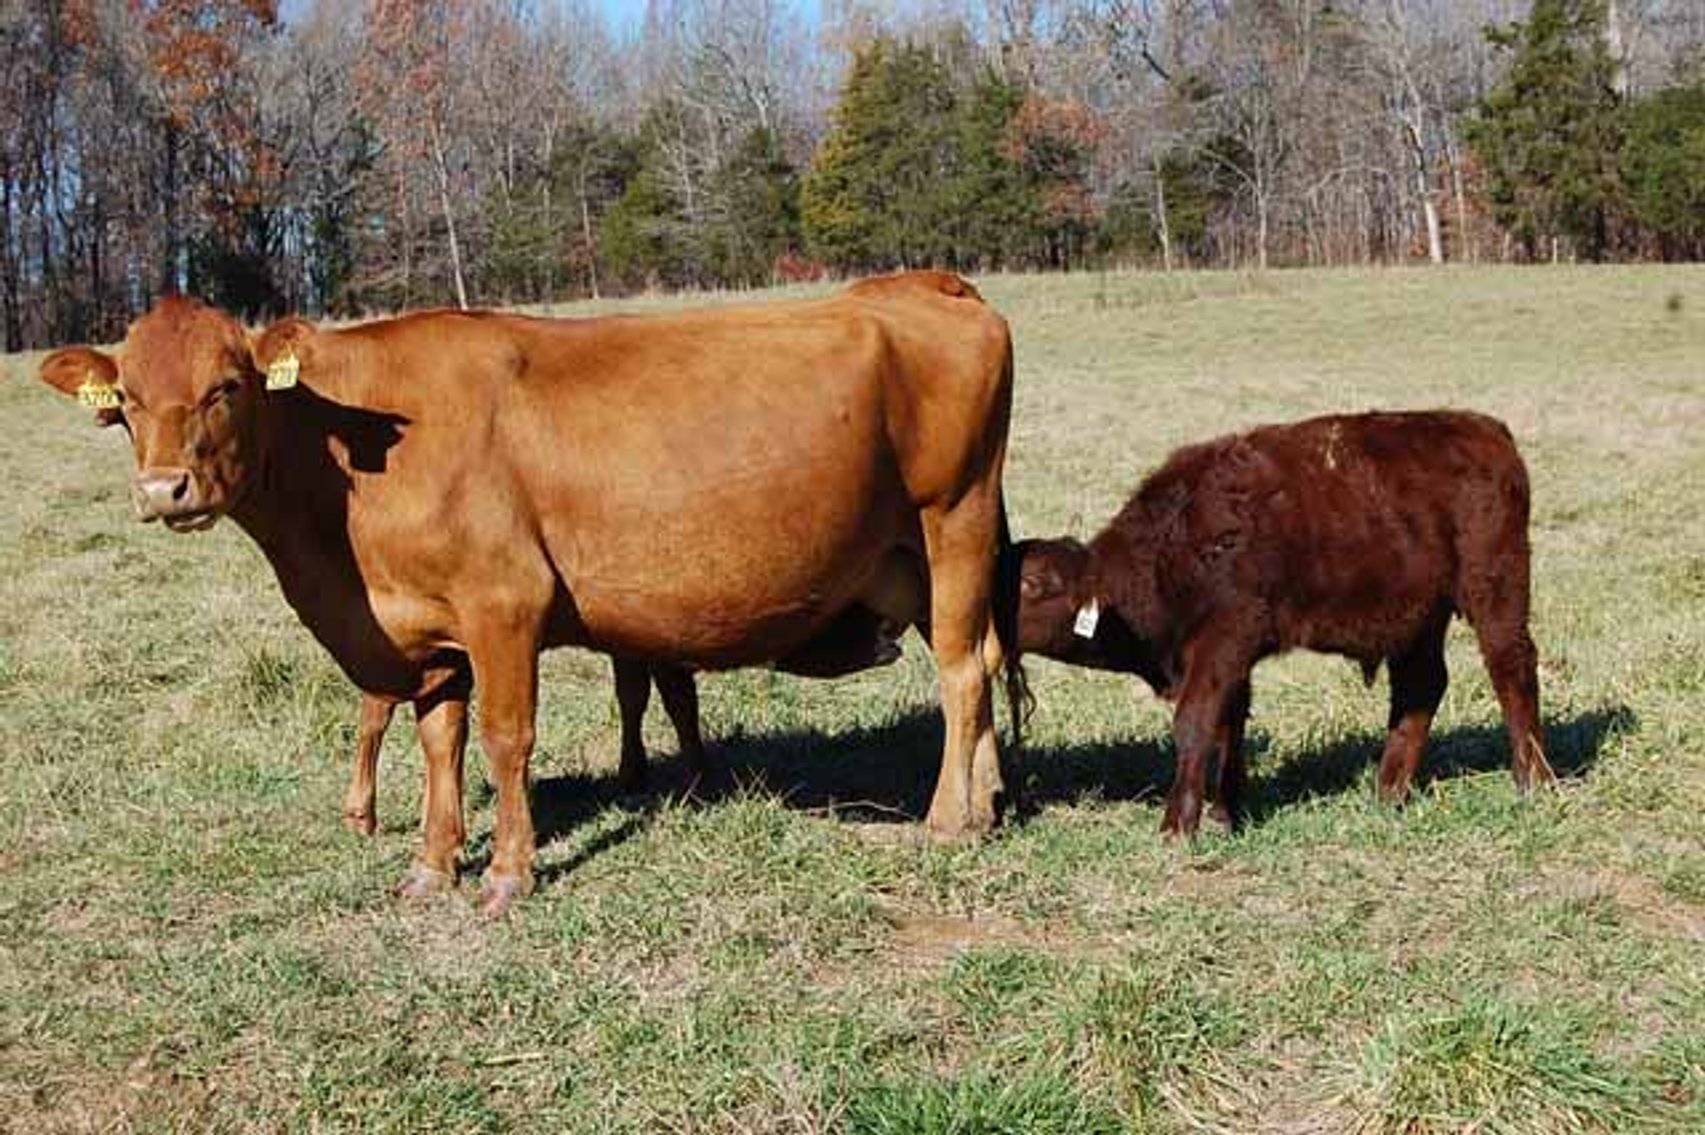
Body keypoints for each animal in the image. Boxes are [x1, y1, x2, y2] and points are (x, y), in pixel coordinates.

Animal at [39, 271, 1020, 915]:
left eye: (227, 386)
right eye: (123, 402)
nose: (165, 489)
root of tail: (921, 284)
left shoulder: (502, 604)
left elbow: (505, 741)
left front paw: (508, 873)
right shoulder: (428, 629)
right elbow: (439, 743)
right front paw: (431, 866)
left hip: (954, 516)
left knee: (960, 671)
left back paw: (946, 818)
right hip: (916, 554)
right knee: (982, 656)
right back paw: (991, 798)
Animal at [1013, 410, 1554, 837]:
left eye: (1031, 584)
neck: (1171, 546)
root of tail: (1483, 428)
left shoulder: (1225, 639)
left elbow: (1195, 723)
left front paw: (1178, 825)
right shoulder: (1229, 660)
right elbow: (1227, 727)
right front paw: (1225, 812)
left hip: (1495, 587)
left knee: (1512, 668)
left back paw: (1534, 781)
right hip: (1418, 618)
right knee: (1421, 687)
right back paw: (1387, 792)